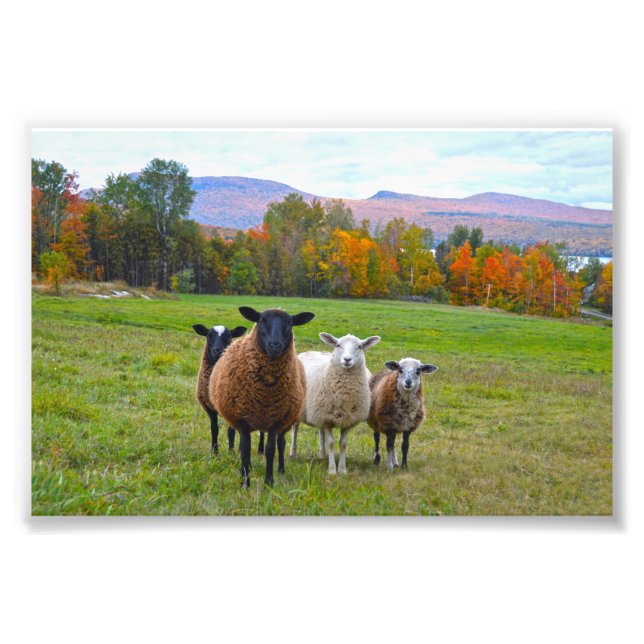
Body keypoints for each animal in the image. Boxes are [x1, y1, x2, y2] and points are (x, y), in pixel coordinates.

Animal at [193, 323, 247, 454]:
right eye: (209, 336)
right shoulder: (209, 407)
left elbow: (231, 431)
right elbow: (214, 429)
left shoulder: (231, 408)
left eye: (229, 336)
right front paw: (214, 452)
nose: (217, 350)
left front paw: (231, 452)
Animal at [209, 306, 315, 488]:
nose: (275, 345)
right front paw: (245, 481)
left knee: (281, 444)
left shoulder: (276, 420)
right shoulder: (242, 419)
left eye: (290, 323)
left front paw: (269, 482)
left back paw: (281, 470)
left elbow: (270, 449)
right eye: (261, 320)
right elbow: (245, 449)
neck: (265, 393)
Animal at [290, 332, 381, 475]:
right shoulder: (327, 418)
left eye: (359, 347)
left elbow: (343, 444)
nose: (347, 359)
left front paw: (342, 470)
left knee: (320, 431)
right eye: (338, 345)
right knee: (295, 428)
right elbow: (331, 443)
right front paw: (332, 470)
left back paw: (322, 455)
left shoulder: (347, 419)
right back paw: (292, 453)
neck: (345, 395)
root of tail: (307, 352)